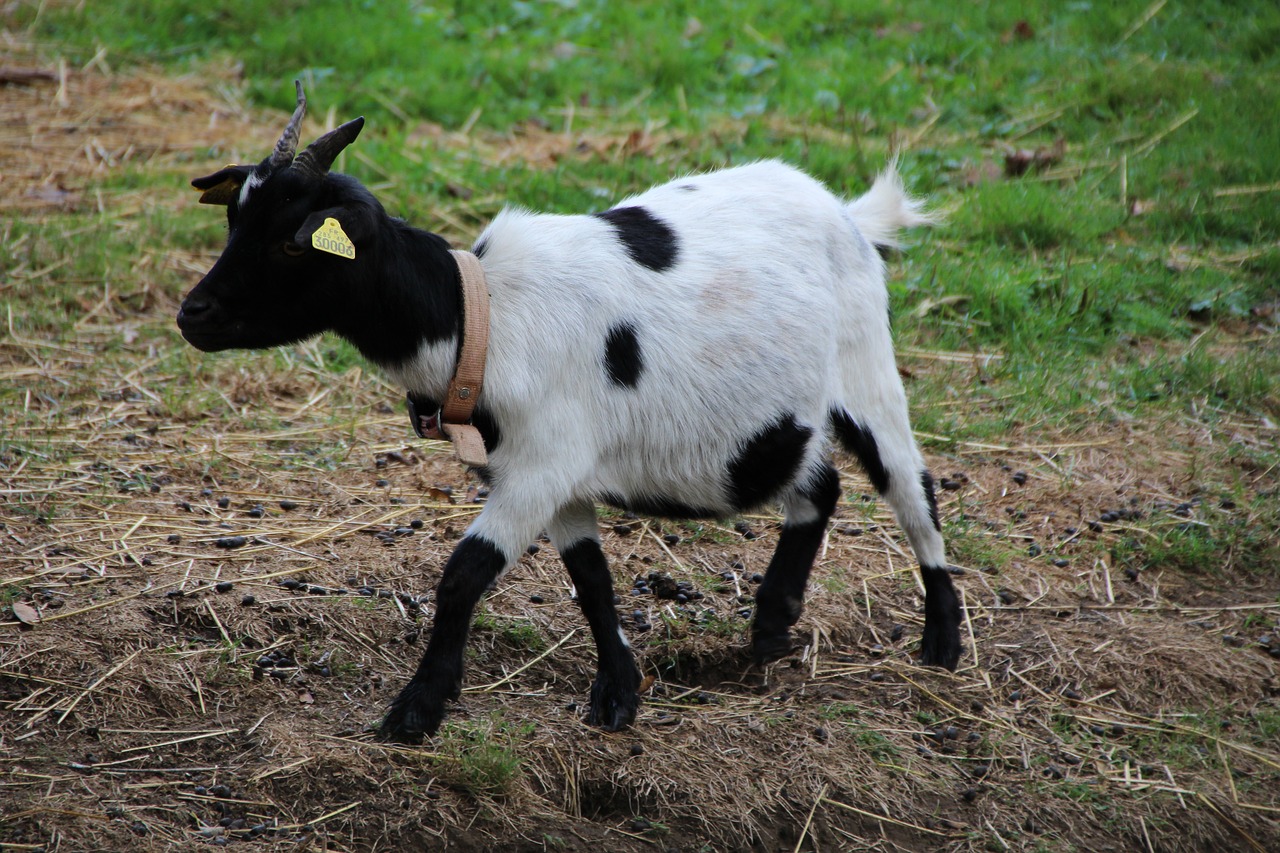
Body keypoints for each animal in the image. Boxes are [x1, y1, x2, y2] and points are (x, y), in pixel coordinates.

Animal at [177, 83, 962, 742]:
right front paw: (618, 693)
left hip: (866, 367)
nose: (193, 314)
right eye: (233, 217)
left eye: (292, 241)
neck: (483, 317)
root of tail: (846, 212)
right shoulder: (555, 474)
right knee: (819, 483)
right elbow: (591, 578)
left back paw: (943, 642)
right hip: (775, 417)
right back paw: (771, 624)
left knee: (911, 488)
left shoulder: (543, 464)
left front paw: (416, 709)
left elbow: (464, 573)